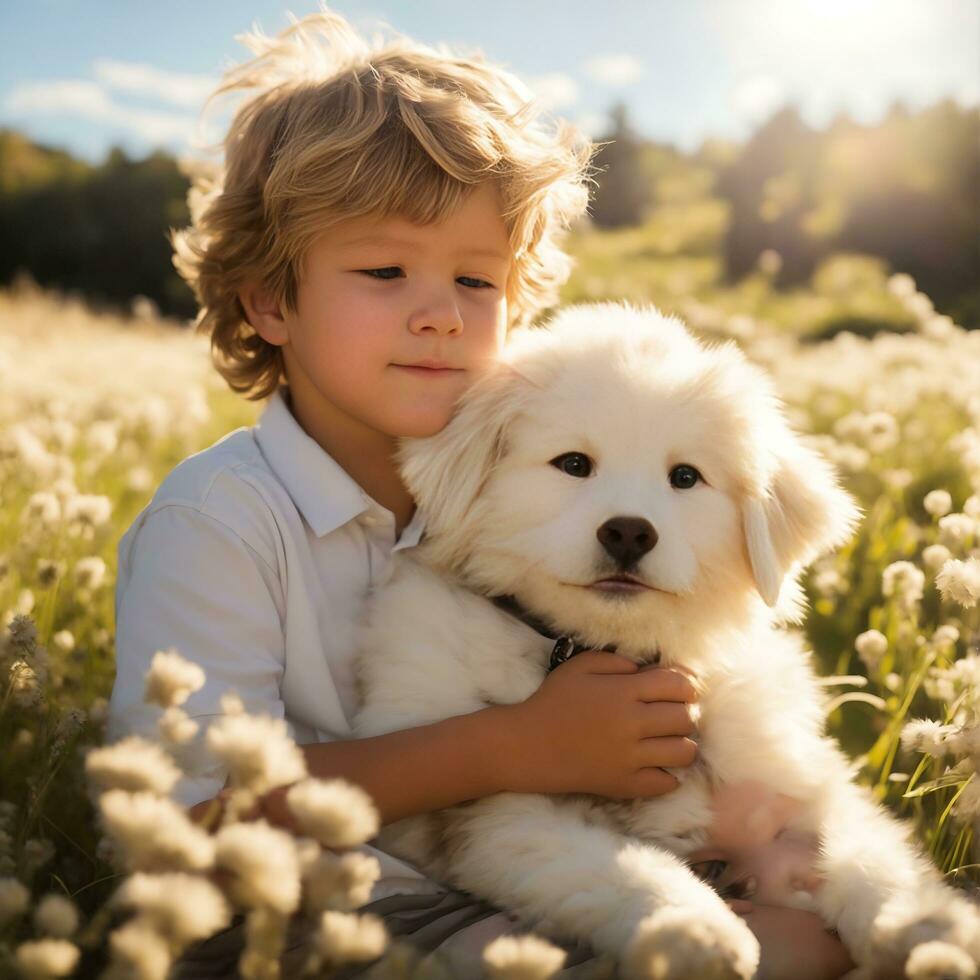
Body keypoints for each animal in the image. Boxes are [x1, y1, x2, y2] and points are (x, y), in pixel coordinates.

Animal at [354, 302, 980, 976]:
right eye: (573, 464)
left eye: (685, 477)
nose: (629, 532)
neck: (615, 651)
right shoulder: (505, 811)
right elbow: (626, 870)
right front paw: (701, 933)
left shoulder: (801, 792)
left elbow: (872, 863)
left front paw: (932, 934)